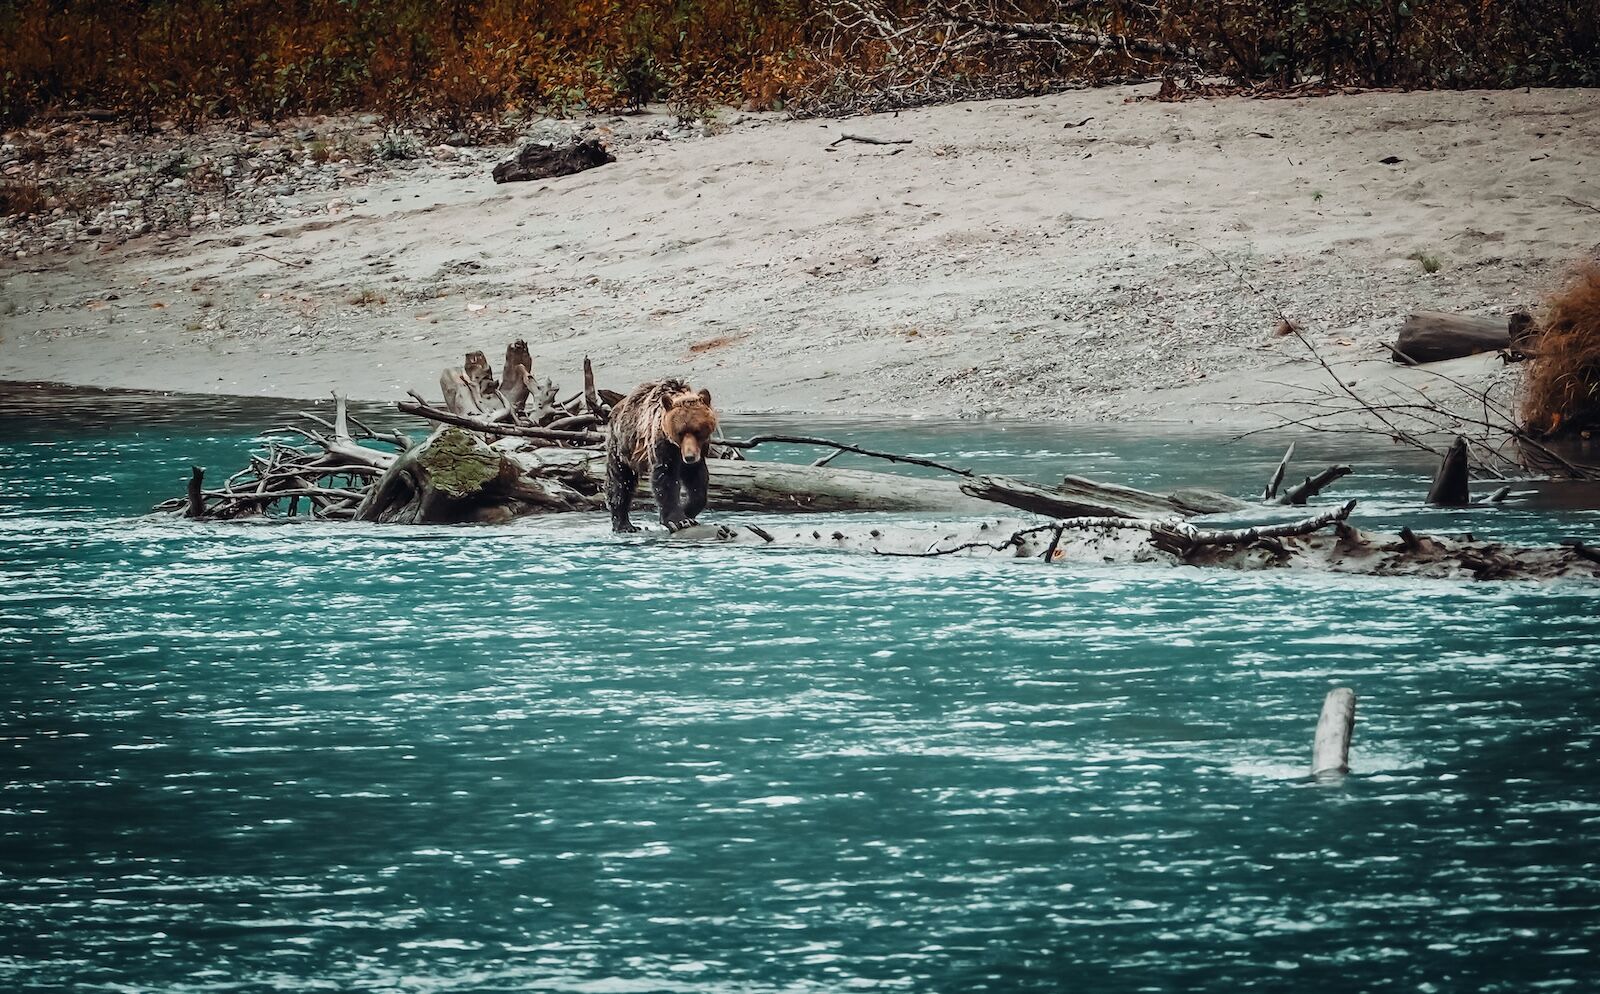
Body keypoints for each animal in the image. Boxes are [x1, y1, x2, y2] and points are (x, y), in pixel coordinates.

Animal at [605, 379, 719, 533]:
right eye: (680, 432)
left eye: (698, 431)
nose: (689, 457)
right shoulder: (663, 445)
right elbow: (665, 478)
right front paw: (678, 520)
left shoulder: (698, 453)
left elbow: (697, 482)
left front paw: (687, 511)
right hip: (622, 447)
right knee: (620, 481)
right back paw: (624, 525)